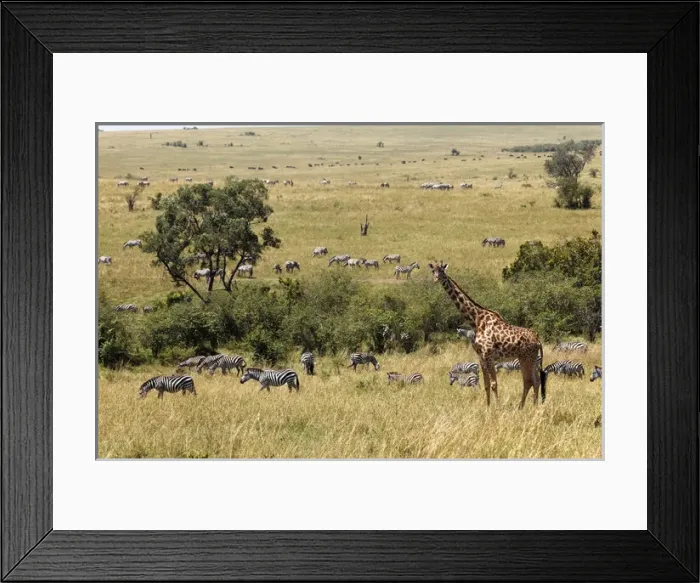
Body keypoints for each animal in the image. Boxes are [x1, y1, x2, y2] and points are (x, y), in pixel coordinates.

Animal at [427, 261, 546, 408]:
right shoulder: (481, 357)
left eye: (442, 271)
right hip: (531, 359)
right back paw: (532, 406)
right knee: (535, 380)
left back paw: (523, 406)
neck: (476, 320)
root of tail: (538, 340)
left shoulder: (489, 356)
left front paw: (498, 406)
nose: (436, 279)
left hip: (526, 358)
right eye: (433, 271)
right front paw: (488, 406)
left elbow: (494, 383)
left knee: (529, 381)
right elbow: (486, 384)